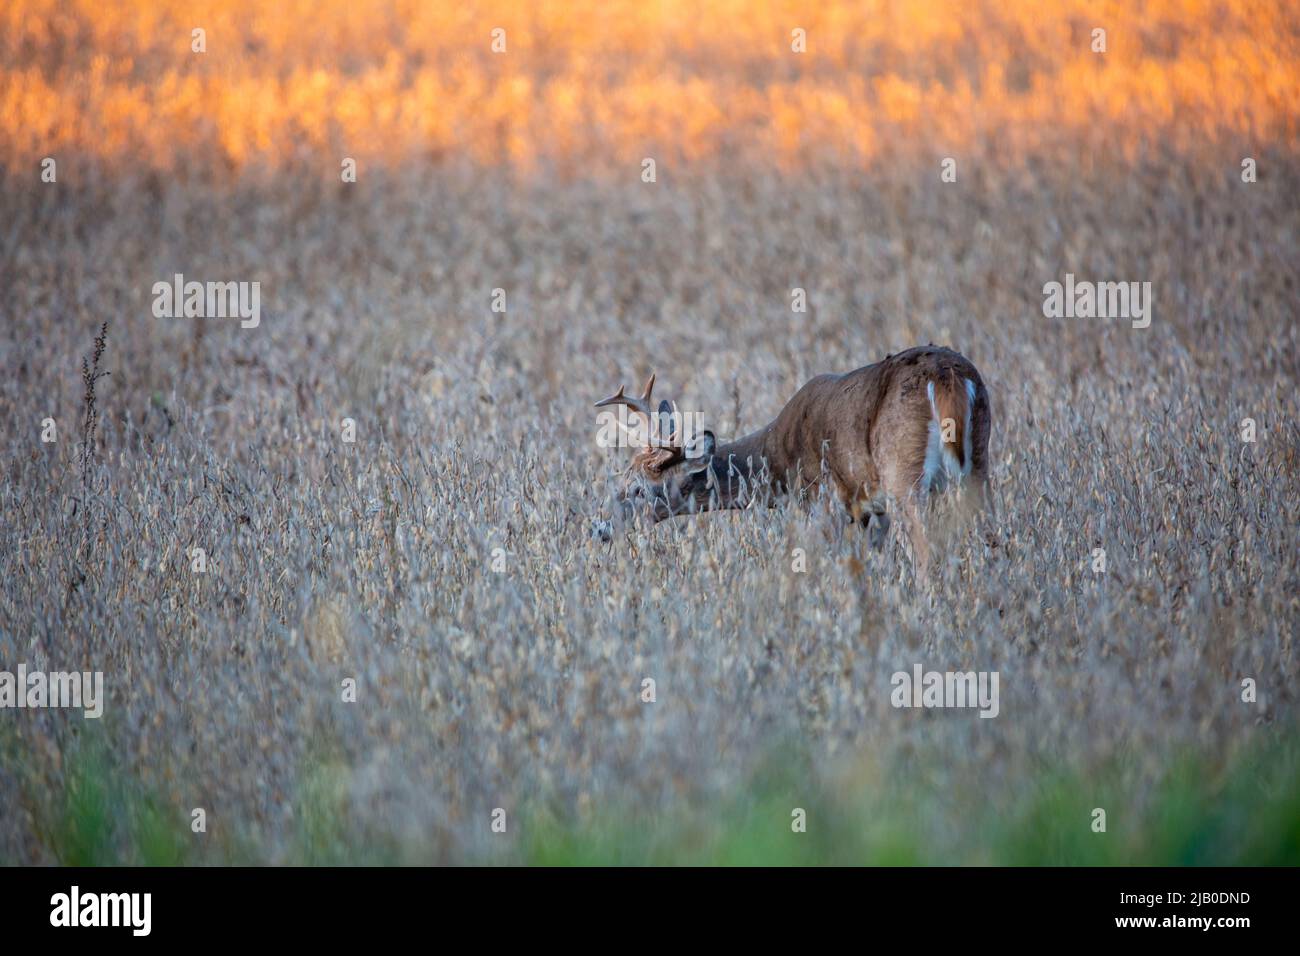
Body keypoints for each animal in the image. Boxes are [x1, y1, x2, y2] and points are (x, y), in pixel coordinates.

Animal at [595, 345, 987, 580]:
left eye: (637, 489)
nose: (599, 528)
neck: (778, 457)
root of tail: (948, 377)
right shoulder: (870, 511)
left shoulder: (825, 503)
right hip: (978, 464)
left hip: (904, 475)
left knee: (925, 551)